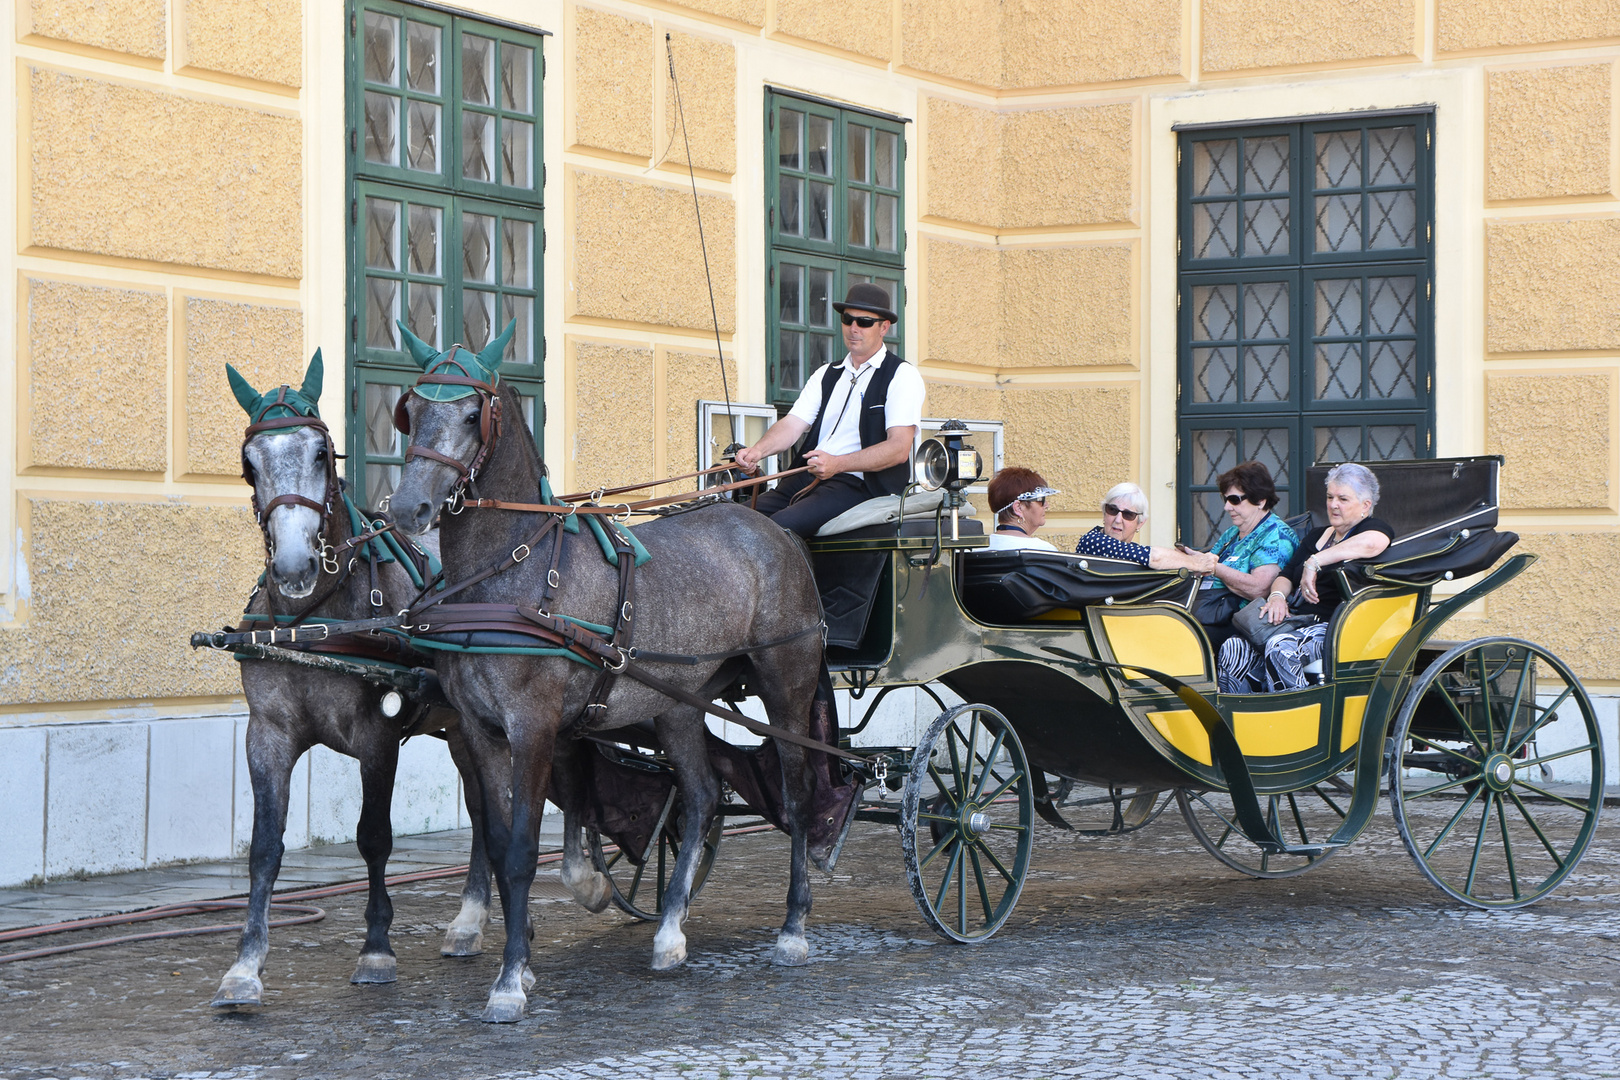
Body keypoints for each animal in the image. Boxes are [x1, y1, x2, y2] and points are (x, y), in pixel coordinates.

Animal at [212, 356, 495, 1016]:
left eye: (322, 453)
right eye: (250, 463)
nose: (294, 567)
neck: (313, 620)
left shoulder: (377, 739)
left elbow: (374, 838)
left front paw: (376, 949)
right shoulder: (267, 736)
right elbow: (264, 848)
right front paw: (245, 966)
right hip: (460, 729)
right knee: (481, 808)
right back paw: (468, 922)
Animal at [388, 320, 822, 1023]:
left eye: (471, 414)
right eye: (414, 409)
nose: (409, 509)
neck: (510, 569)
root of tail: (770, 528)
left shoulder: (534, 726)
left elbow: (520, 852)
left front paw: (509, 981)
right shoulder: (480, 731)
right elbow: (499, 837)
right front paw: (520, 958)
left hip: (787, 685)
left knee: (799, 791)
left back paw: (793, 928)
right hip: (677, 705)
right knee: (702, 795)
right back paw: (669, 931)